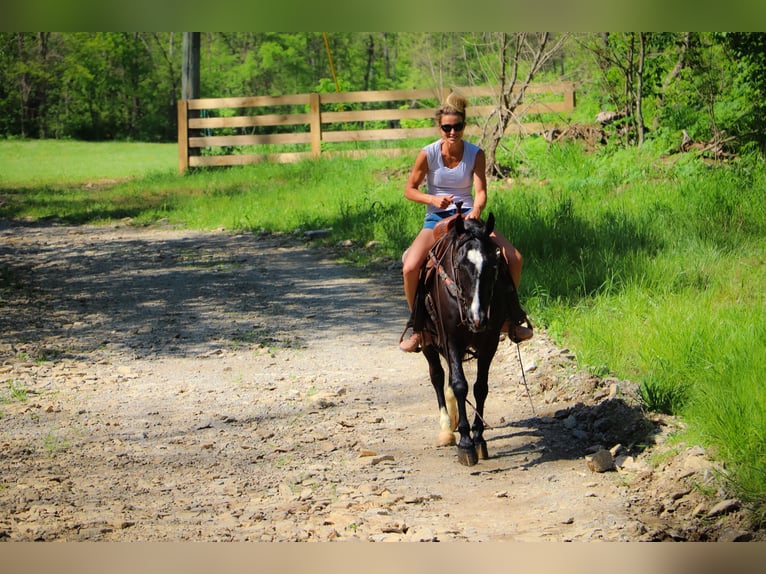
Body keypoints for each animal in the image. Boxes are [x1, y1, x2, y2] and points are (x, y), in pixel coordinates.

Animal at [412, 212, 520, 468]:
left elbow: (481, 388)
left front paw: (479, 439)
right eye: (461, 266)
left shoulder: (490, 341)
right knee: (438, 376)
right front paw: (465, 443)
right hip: (428, 341)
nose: (477, 317)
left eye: (493, 266)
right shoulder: (450, 338)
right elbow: (460, 385)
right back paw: (446, 428)